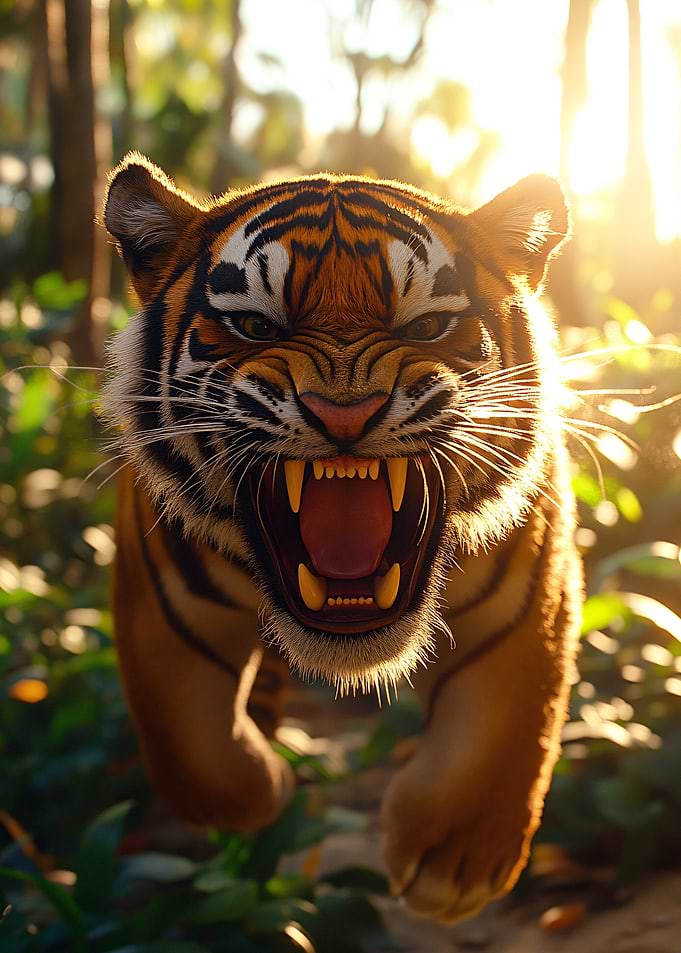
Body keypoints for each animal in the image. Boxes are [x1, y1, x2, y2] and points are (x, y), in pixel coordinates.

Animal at [100, 151, 583, 924]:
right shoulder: (160, 608)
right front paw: (261, 798)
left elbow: (503, 731)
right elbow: (194, 750)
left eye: (426, 327)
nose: (345, 412)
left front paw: (454, 864)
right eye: (255, 326)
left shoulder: (529, 598)